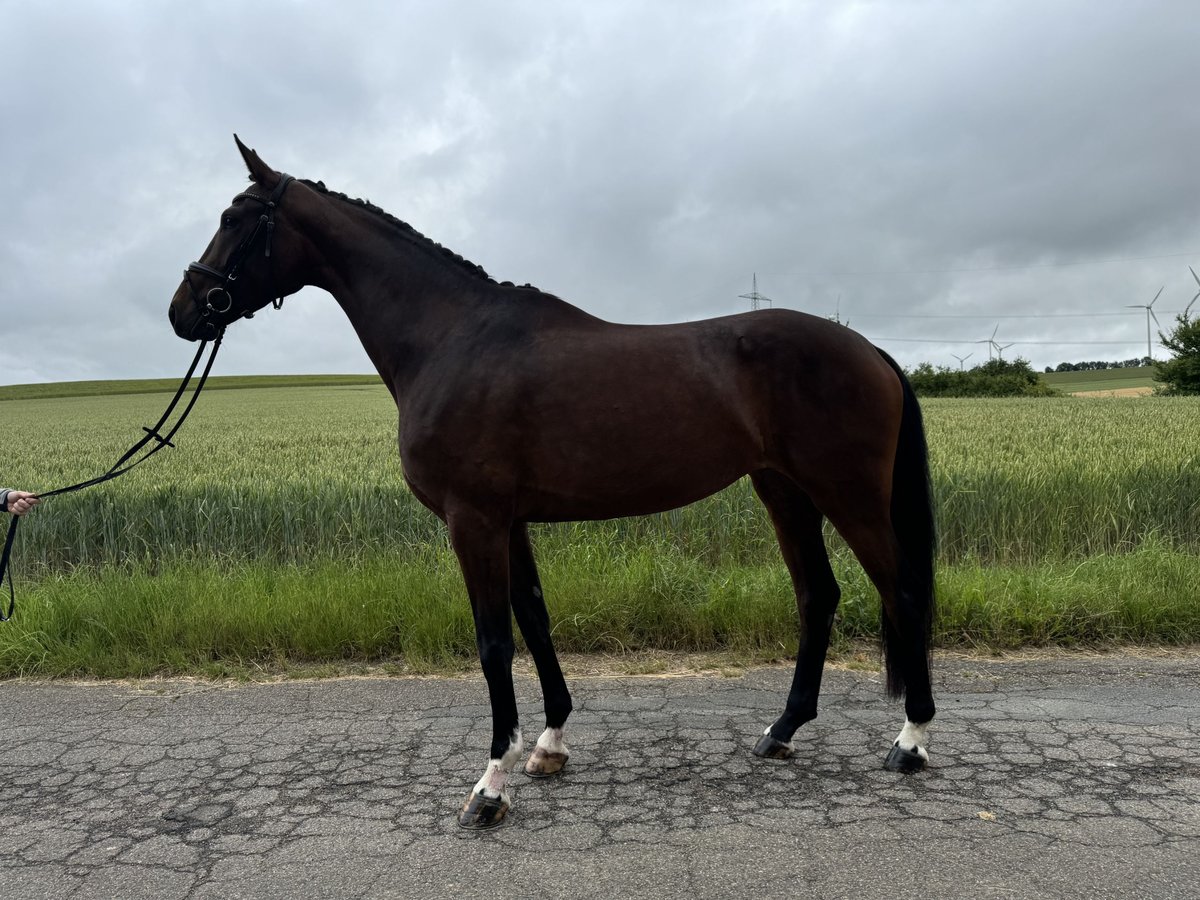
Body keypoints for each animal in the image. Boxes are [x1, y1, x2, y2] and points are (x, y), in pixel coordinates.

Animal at [169, 137, 936, 835]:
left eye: (236, 217)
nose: (184, 310)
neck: (452, 339)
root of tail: (867, 349)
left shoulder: (472, 520)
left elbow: (493, 643)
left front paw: (490, 787)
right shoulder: (509, 521)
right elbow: (535, 621)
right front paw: (549, 745)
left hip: (847, 494)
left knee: (899, 592)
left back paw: (912, 742)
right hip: (783, 491)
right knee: (818, 596)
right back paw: (781, 731)